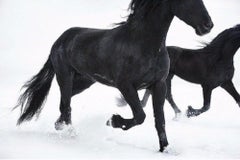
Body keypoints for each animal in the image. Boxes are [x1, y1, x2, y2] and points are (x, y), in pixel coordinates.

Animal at [14, 0, 212, 152]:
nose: (208, 25)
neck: (143, 44)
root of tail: (60, 40)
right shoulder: (125, 85)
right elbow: (140, 115)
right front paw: (113, 121)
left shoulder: (159, 85)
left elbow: (160, 121)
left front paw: (165, 149)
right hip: (65, 76)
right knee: (66, 104)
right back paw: (69, 132)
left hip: (84, 81)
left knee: (65, 102)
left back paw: (60, 125)